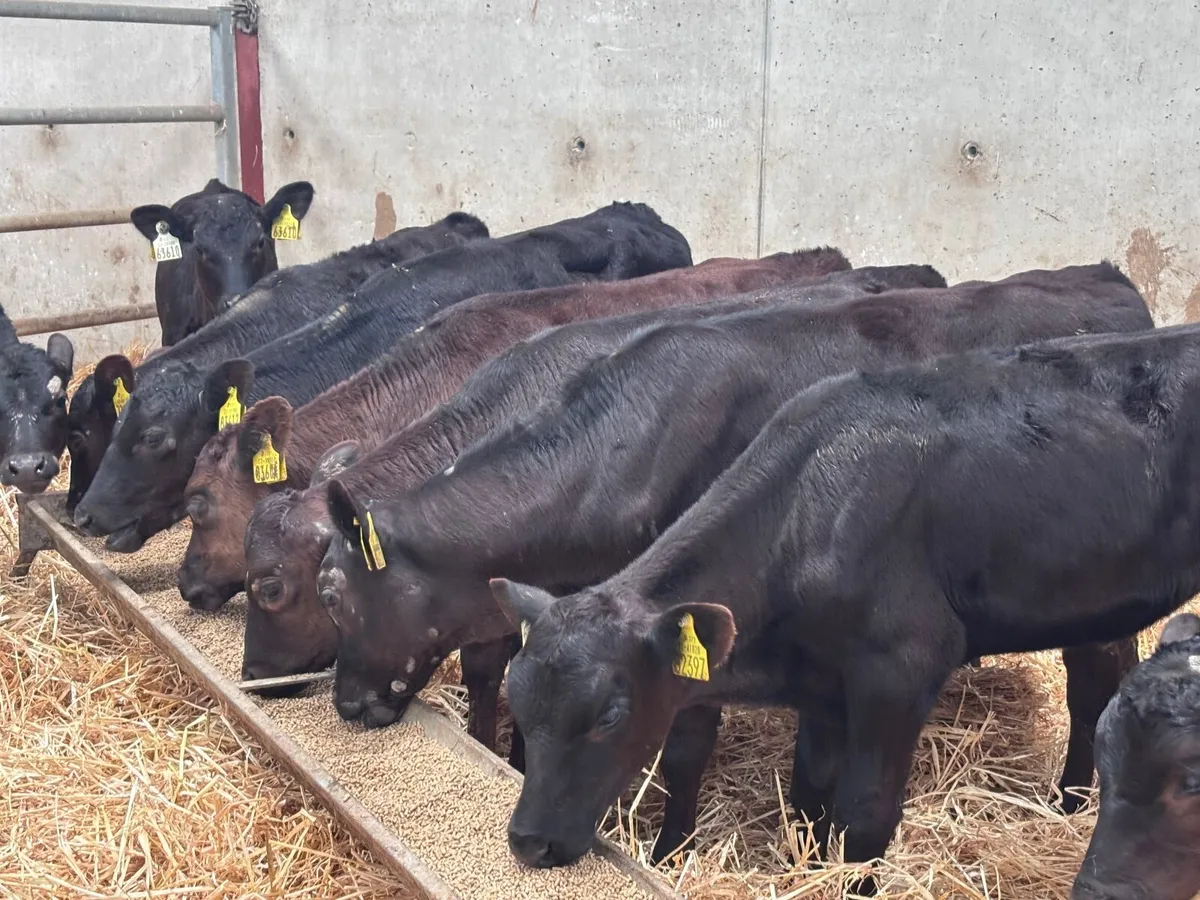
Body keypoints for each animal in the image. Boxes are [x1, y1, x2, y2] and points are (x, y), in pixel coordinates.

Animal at [316, 263, 1153, 865]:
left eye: (331, 593)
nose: (345, 704)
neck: (631, 439)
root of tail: (1102, 277)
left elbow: (684, 749)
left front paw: (668, 849)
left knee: (1096, 680)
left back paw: (1072, 802)